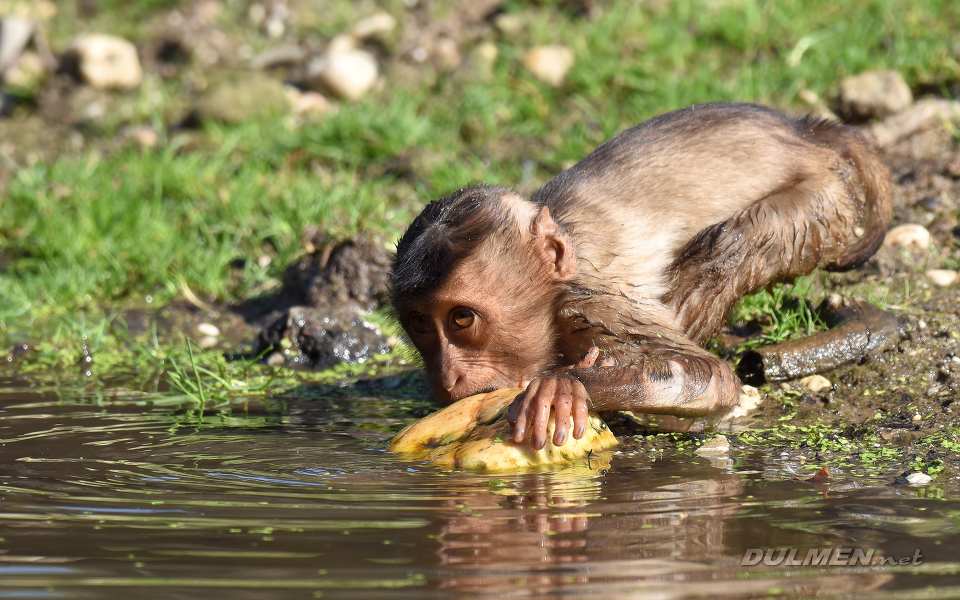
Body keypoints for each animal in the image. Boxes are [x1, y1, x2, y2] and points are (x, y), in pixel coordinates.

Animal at [388, 102, 892, 450]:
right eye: (420, 325)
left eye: (461, 320)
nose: (447, 377)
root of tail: (802, 130)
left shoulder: (592, 303)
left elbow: (708, 376)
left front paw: (570, 385)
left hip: (824, 197)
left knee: (728, 245)